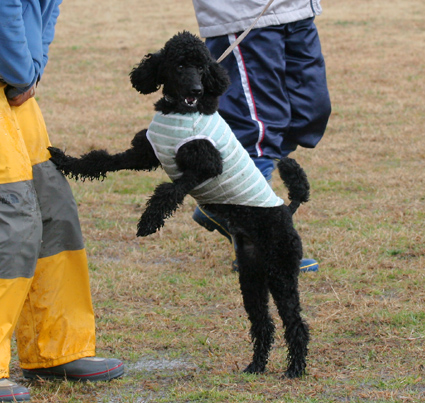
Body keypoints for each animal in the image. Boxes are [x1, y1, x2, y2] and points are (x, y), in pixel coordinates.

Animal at [48, 30, 310, 378]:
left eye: (203, 67)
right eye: (181, 65)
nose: (197, 90)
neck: (180, 112)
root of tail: (287, 210)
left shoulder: (206, 165)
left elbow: (169, 190)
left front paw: (148, 221)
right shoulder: (144, 153)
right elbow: (101, 160)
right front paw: (64, 161)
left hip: (281, 269)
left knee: (295, 322)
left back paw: (295, 368)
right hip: (251, 273)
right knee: (262, 321)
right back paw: (255, 365)